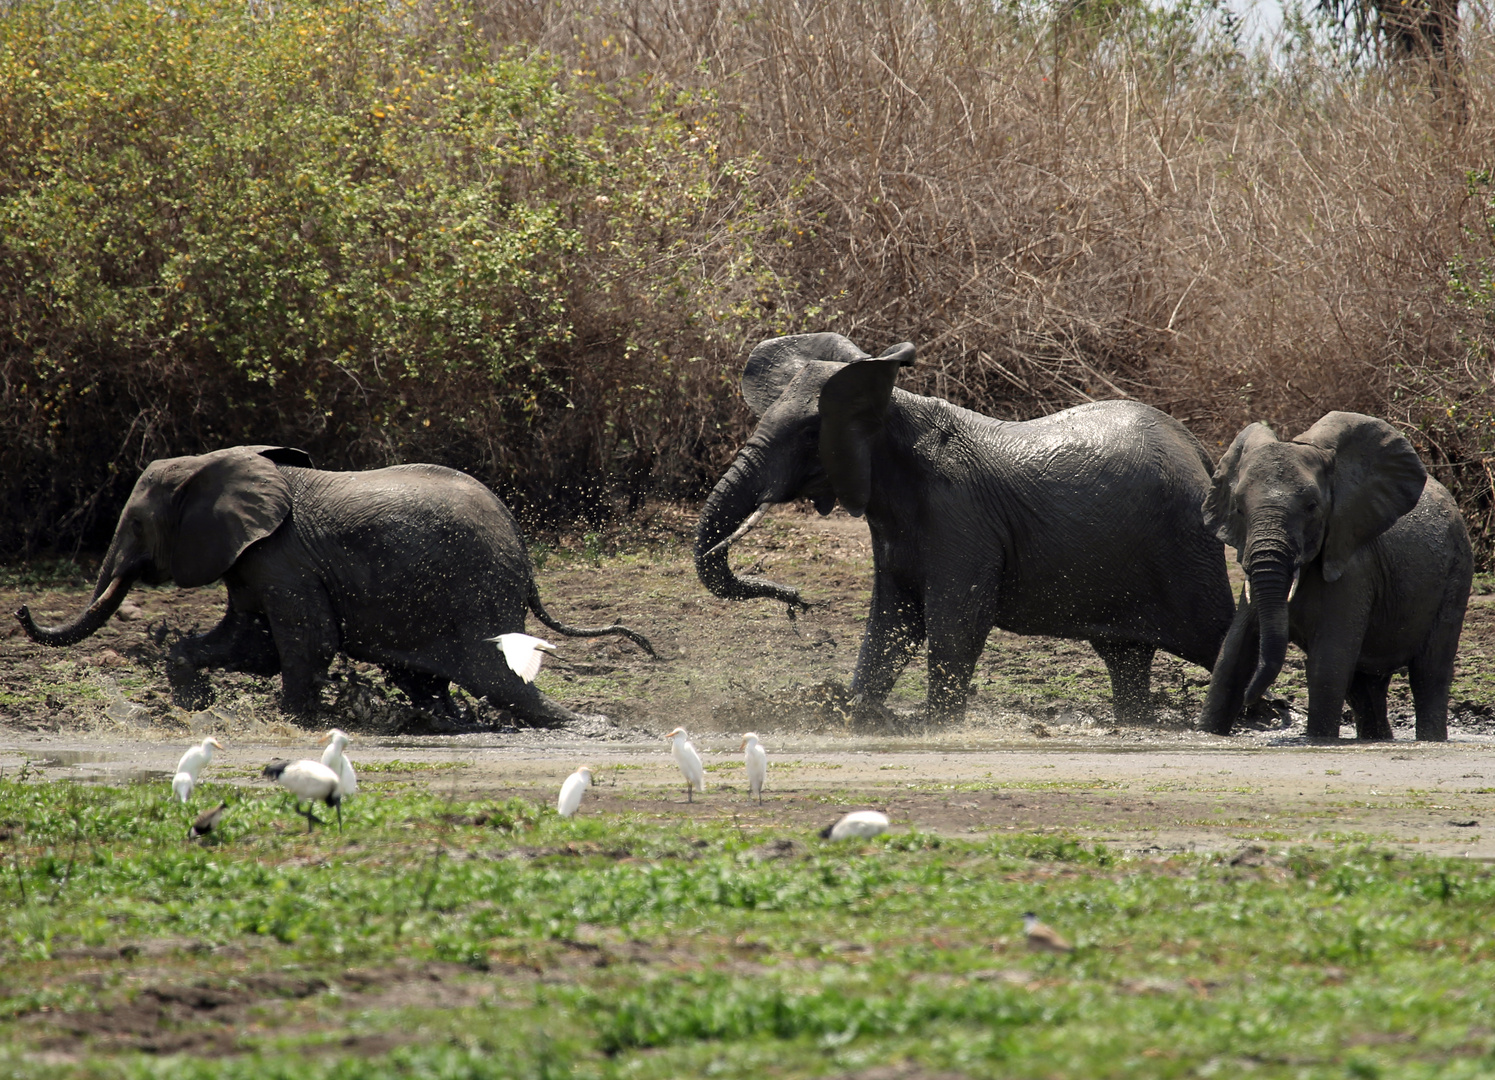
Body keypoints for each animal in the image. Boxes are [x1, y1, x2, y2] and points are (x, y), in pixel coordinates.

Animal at [14, 442, 651, 726]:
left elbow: (306, 641)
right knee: (428, 677)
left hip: (475, 591)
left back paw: (581, 726)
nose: (20, 610)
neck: (215, 461)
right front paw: (196, 703)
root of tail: (520, 543)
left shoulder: (281, 557)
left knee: (496, 676)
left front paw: (291, 722)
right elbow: (253, 644)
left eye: (136, 525)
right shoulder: (254, 559)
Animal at [693, 335, 1231, 723]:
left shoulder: (960, 517)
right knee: (1125, 656)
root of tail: (1199, 451)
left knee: (1214, 634)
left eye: (810, 435)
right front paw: (855, 714)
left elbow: (956, 623)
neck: (892, 405)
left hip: (1185, 550)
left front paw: (935, 726)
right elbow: (892, 622)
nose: (796, 600)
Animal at [1190, 412, 1471, 741]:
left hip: (1457, 572)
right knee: (1365, 687)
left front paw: (1318, 740)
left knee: (1429, 673)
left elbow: (1328, 664)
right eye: (1238, 509)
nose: (1271, 707)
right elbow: (1232, 657)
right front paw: (1208, 734)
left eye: (1312, 507)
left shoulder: (1354, 567)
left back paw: (1431, 738)